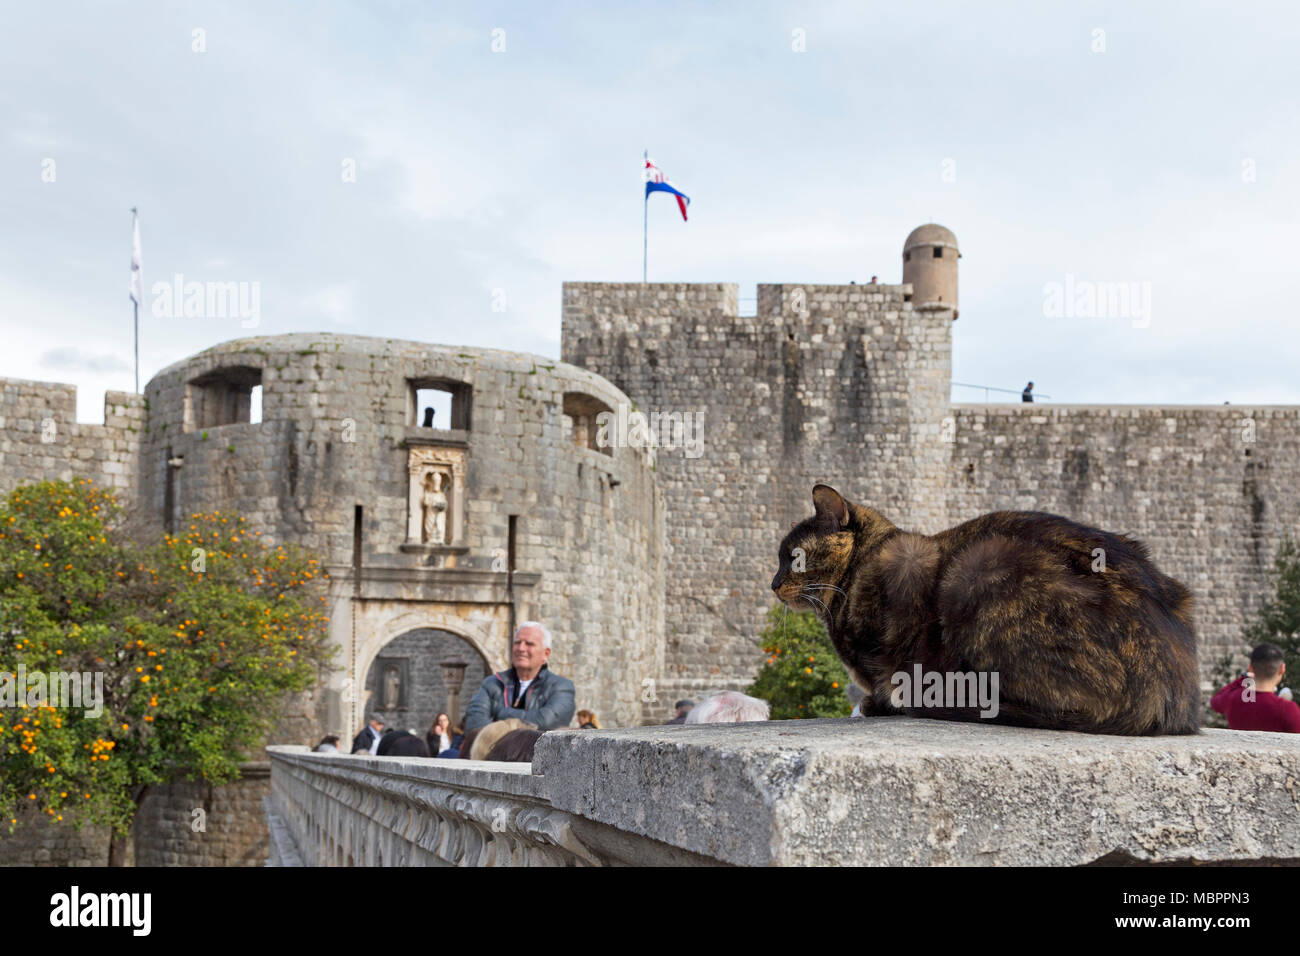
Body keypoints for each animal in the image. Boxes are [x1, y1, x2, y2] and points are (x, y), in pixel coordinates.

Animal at [769, 481, 1196, 738]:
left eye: (793, 558)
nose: (772, 584)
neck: (860, 567)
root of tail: (1168, 693)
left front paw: (876, 703)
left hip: (980, 569)